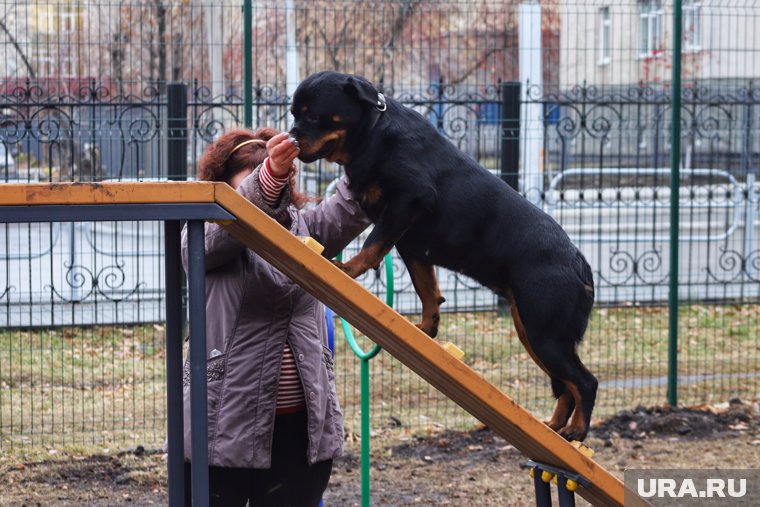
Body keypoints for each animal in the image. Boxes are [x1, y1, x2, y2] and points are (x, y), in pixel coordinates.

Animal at [288, 70, 596, 440]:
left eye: (313, 116)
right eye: (294, 113)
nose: (290, 135)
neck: (373, 134)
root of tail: (580, 264)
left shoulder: (409, 199)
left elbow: (372, 246)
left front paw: (349, 269)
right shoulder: (411, 244)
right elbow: (427, 290)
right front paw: (426, 327)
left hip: (545, 333)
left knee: (585, 382)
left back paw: (576, 430)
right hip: (533, 332)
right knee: (566, 384)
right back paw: (554, 426)